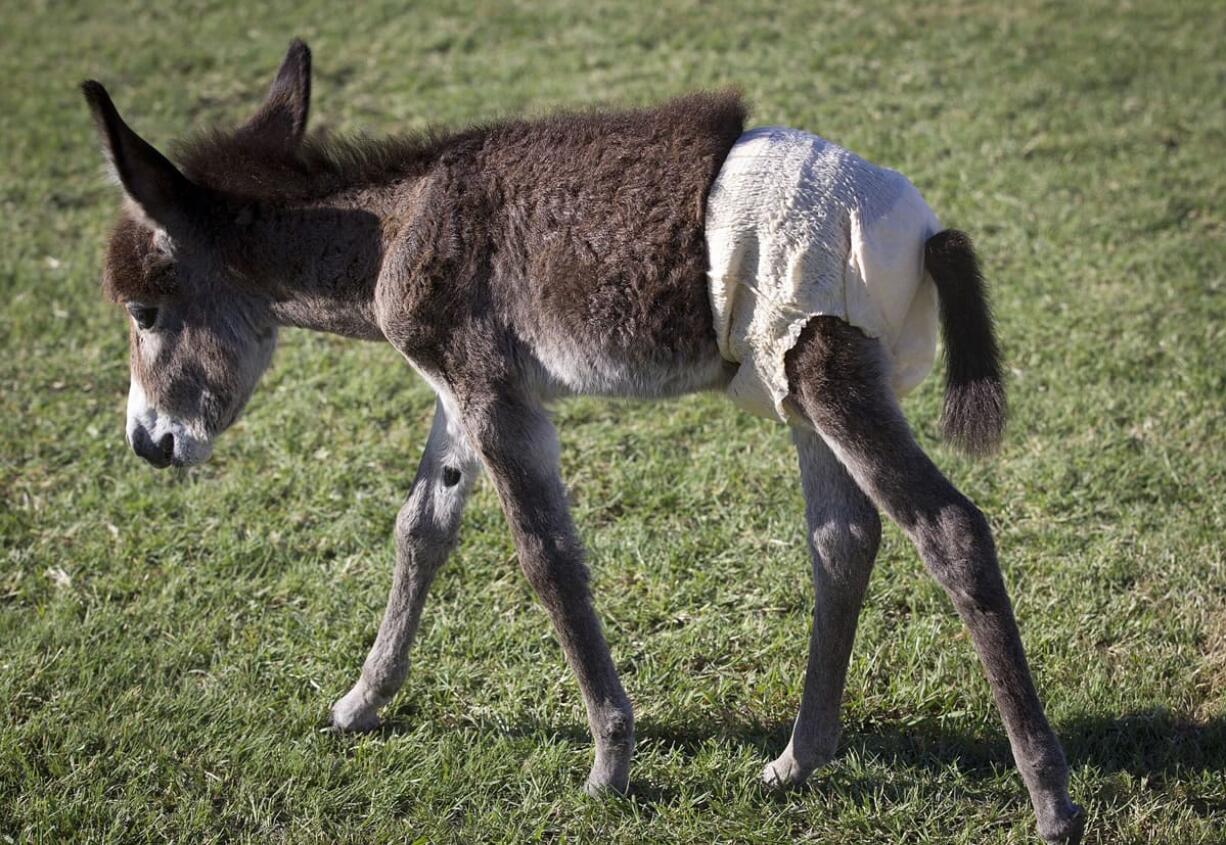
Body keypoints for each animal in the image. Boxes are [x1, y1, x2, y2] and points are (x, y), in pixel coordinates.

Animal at [86, 37, 1083, 838]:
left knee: (949, 529)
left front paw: (609, 762)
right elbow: (421, 530)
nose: (147, 443)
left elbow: (547, 556)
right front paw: (360, 703)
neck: (393, 230)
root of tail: (928, 232)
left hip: (829, 374)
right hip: (798, 388)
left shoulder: (493, 393)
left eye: (144, 310)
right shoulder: (460, 391)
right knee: (844, 539)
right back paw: (799, 758)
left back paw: (1052, 800)